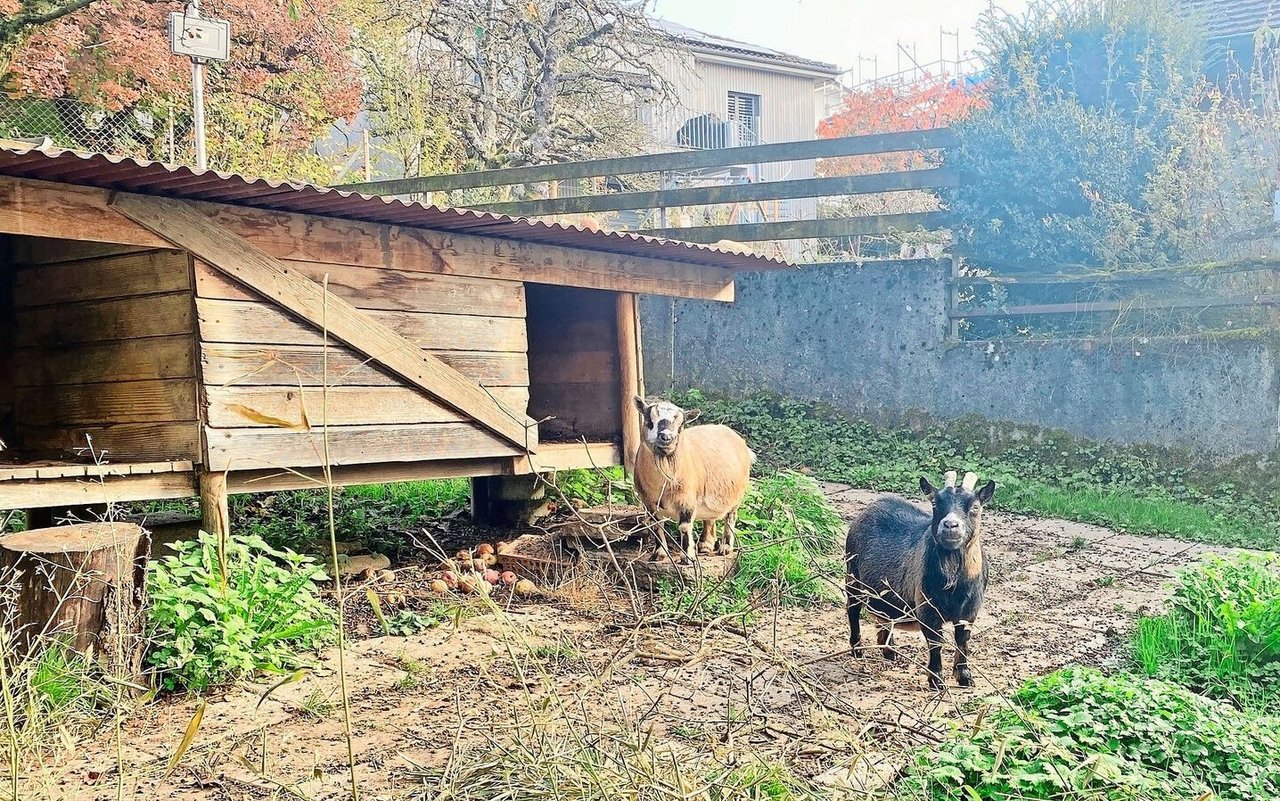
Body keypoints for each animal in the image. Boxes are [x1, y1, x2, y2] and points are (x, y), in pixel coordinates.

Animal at [632, 394, 752, 560]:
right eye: (649, 421)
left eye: (681, 425)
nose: (666, 437)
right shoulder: (648, 503)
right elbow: (656, 526)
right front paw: (658, 554)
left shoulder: (687, 500)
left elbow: (684, 527)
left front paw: (687, 557)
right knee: (710, 517)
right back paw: (705, 545)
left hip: (737, 496)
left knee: (731, 517)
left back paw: (725, 547)